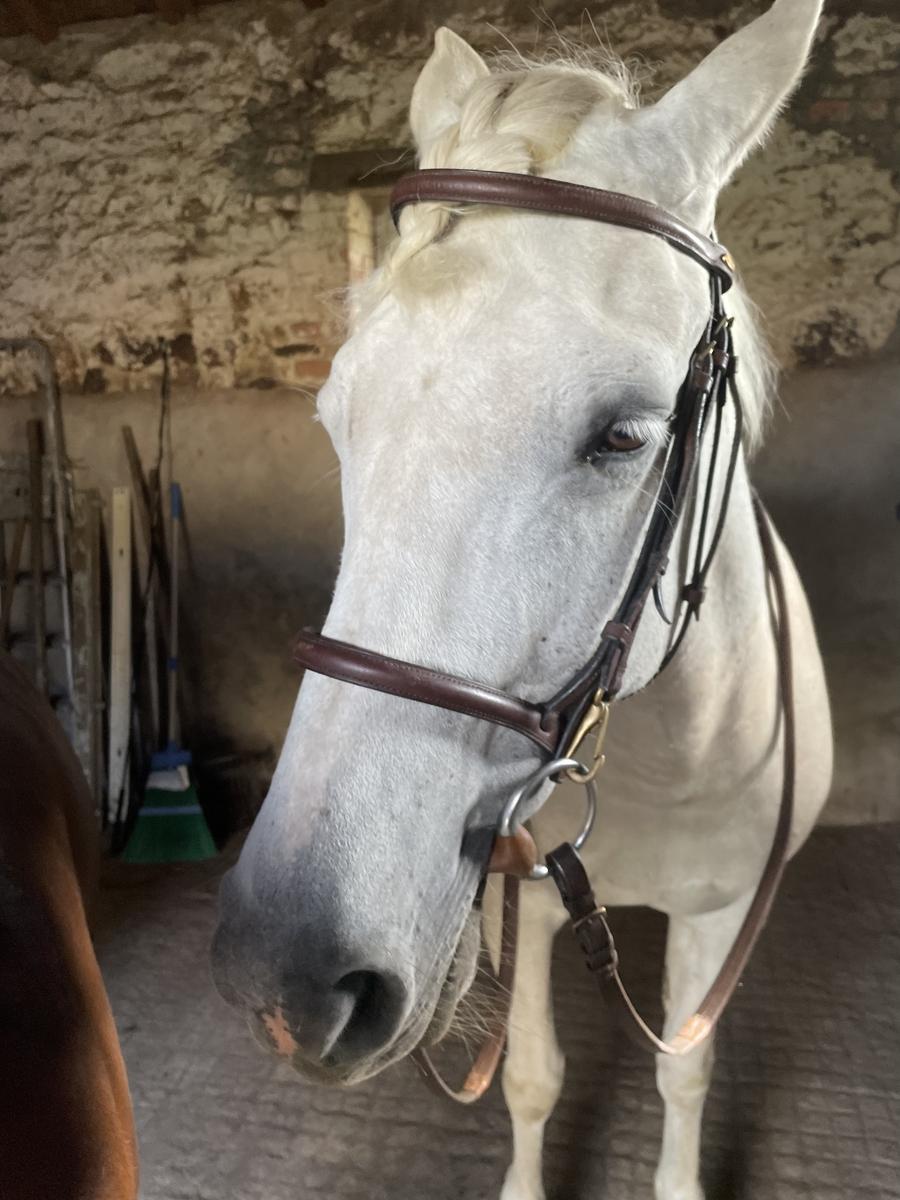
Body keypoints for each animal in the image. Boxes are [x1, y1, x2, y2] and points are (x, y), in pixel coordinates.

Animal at [212, 1, 833, 1196]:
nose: (287, 972)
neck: (658, 762)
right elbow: (535, 1077)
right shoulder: (533, 904)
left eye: (625, 435)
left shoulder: (721, 913)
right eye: (337, 418)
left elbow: (682, 1072)